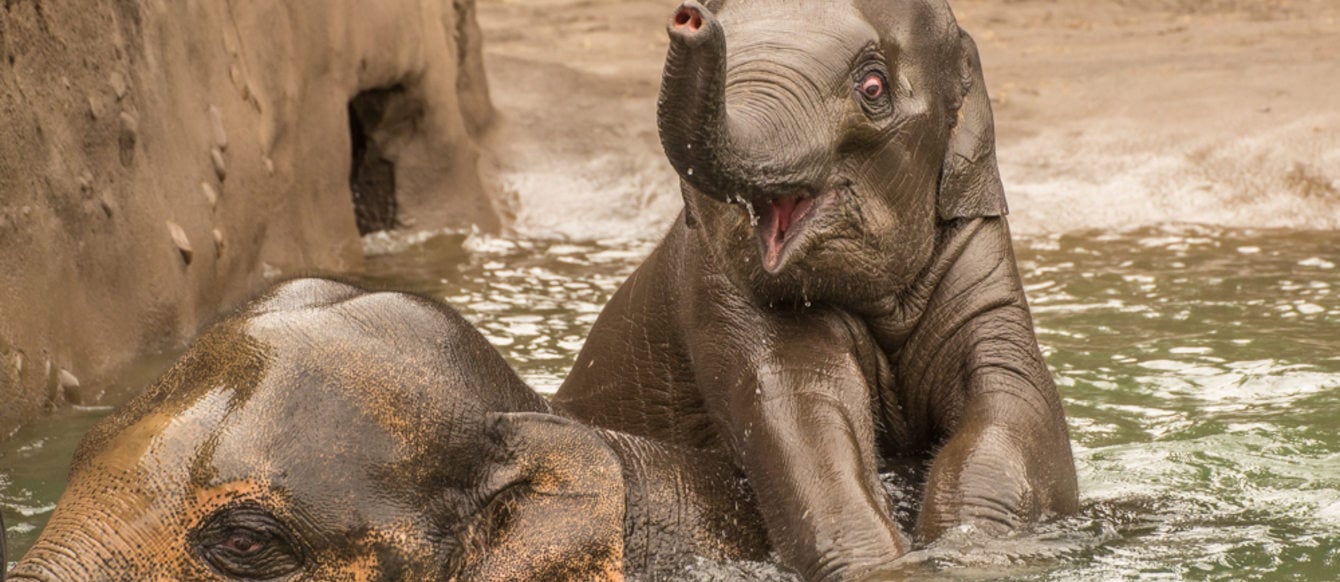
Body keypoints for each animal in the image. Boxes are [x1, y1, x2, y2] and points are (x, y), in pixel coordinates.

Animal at [554, 2, 1077, 579]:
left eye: (872, 86)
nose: (689, 18)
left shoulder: (982, 267)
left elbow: (1014, 400)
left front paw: (967, 551)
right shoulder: (716, 290)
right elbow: (805, 416)